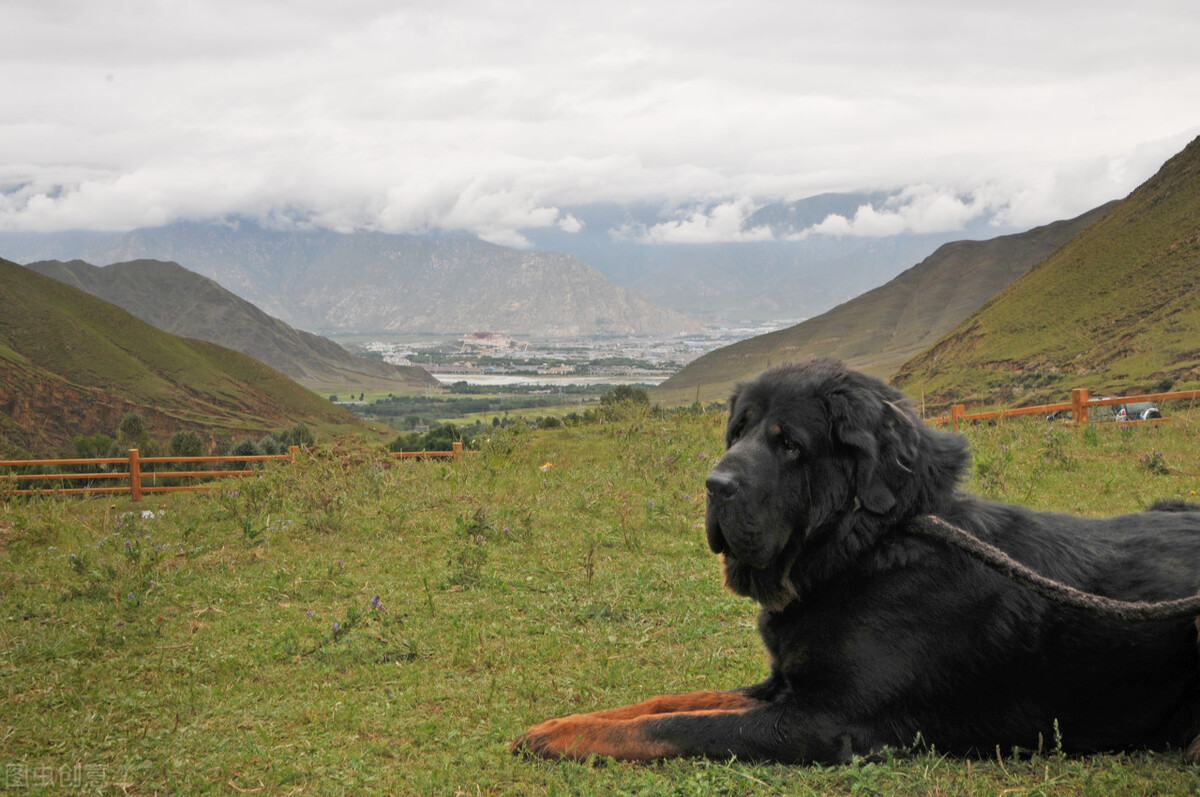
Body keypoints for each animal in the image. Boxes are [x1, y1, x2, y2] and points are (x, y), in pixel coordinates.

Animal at [511, 360, 1200, 758]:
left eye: (789, 444)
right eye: (738, 431)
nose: (714, 484)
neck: (864, 546)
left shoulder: (820, 720)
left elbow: (677, 727)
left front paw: (564, 737)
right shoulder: (784, 684)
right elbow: (663, 704)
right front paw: (559, 724)